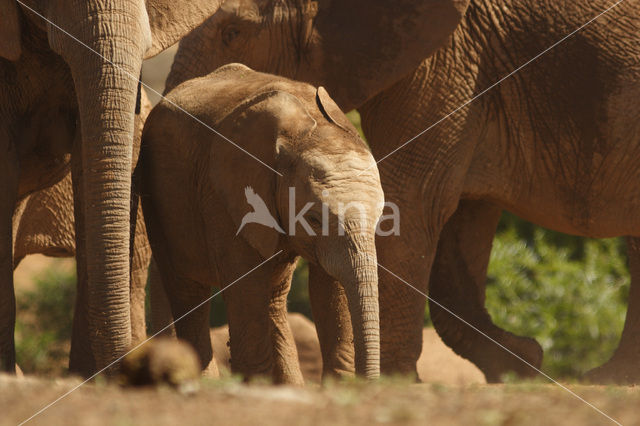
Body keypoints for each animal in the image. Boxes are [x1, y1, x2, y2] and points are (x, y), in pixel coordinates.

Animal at [139, 64, 380, 382]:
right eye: (313, 219)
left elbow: (331, 287)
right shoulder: (224, 196)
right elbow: (247, 288)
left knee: (273, 297)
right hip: (160, 198)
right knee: (189, 293)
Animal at [165, 0, 640, 384]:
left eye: (233, 32)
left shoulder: (448, 63)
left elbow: (413, 205)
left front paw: (392, 382)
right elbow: (459, 228)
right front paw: (521, 364)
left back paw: (608, 381)